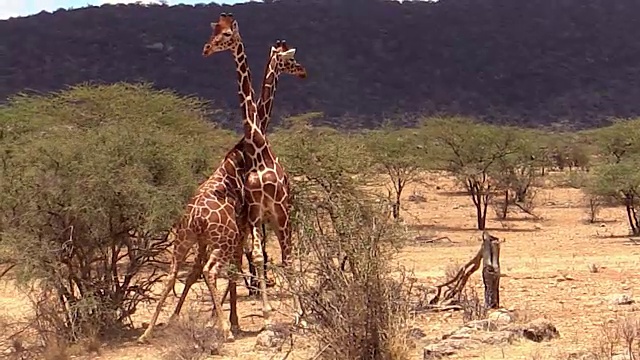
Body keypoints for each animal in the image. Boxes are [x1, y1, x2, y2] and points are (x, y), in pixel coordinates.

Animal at [201, 11, 298, 328]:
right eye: (217, 32)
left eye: (226, 34)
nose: (206, 49)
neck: (256, 148)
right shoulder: (254, 214)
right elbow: (256, 255)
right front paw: (264, 309)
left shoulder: (270, 213)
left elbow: (268, 256)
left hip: (278, 217)